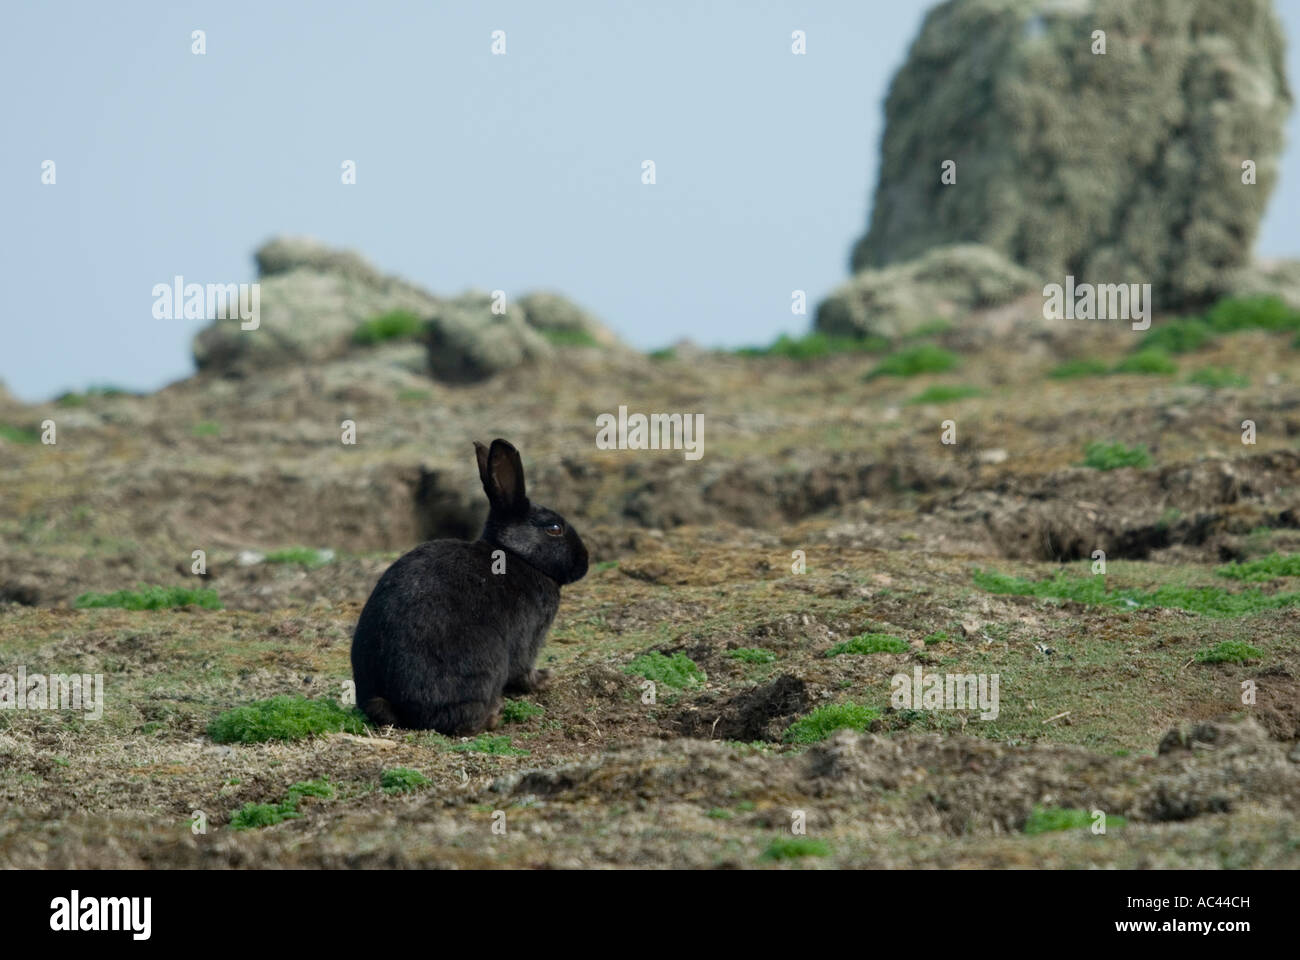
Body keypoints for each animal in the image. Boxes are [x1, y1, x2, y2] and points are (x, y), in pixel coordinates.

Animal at [350, 438, 588, 733]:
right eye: (554, 528)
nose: (585, 562)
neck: (515, 554)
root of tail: (393, 703)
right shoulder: (530, 636)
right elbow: (524, 667)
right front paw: (544, 678)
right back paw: (493, 715)